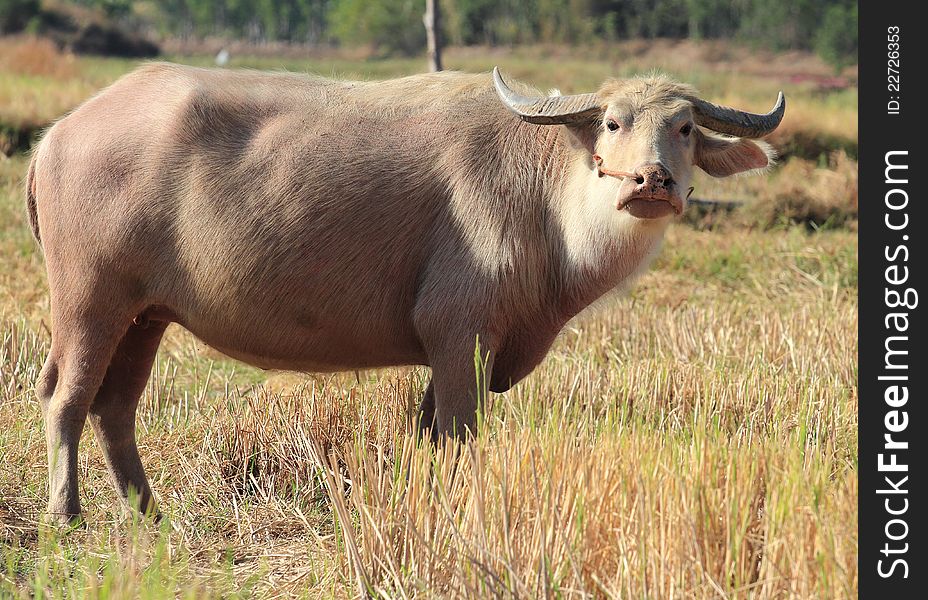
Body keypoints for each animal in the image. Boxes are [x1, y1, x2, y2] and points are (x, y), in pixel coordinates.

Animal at [25, 63, 784, 524]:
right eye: (613, 123)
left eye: (684, 127)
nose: (651, 181)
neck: (548, 201)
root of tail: (58, 135)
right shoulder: (461, 334)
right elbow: (460, 433)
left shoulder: (457, 350)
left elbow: (428, 436)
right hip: (90, 298)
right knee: (66, 395)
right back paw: (66, 513)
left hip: (145, 314)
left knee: (115, 406)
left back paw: (147, 512)